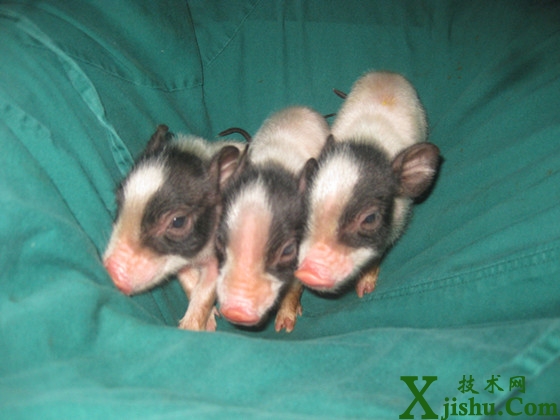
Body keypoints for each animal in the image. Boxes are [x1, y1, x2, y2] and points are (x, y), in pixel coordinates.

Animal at [103, 125, 243, 330]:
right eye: (119, 201)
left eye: (178, 221)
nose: (111, 273)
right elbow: (188, 280)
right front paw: (211, 320)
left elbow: (207, 289)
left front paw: (193, 328)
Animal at [215, 106, 330, 332]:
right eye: (218, 242)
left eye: (287, 250)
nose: (236, 312)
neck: (276, 165)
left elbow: (295, 285)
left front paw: (286, 321)